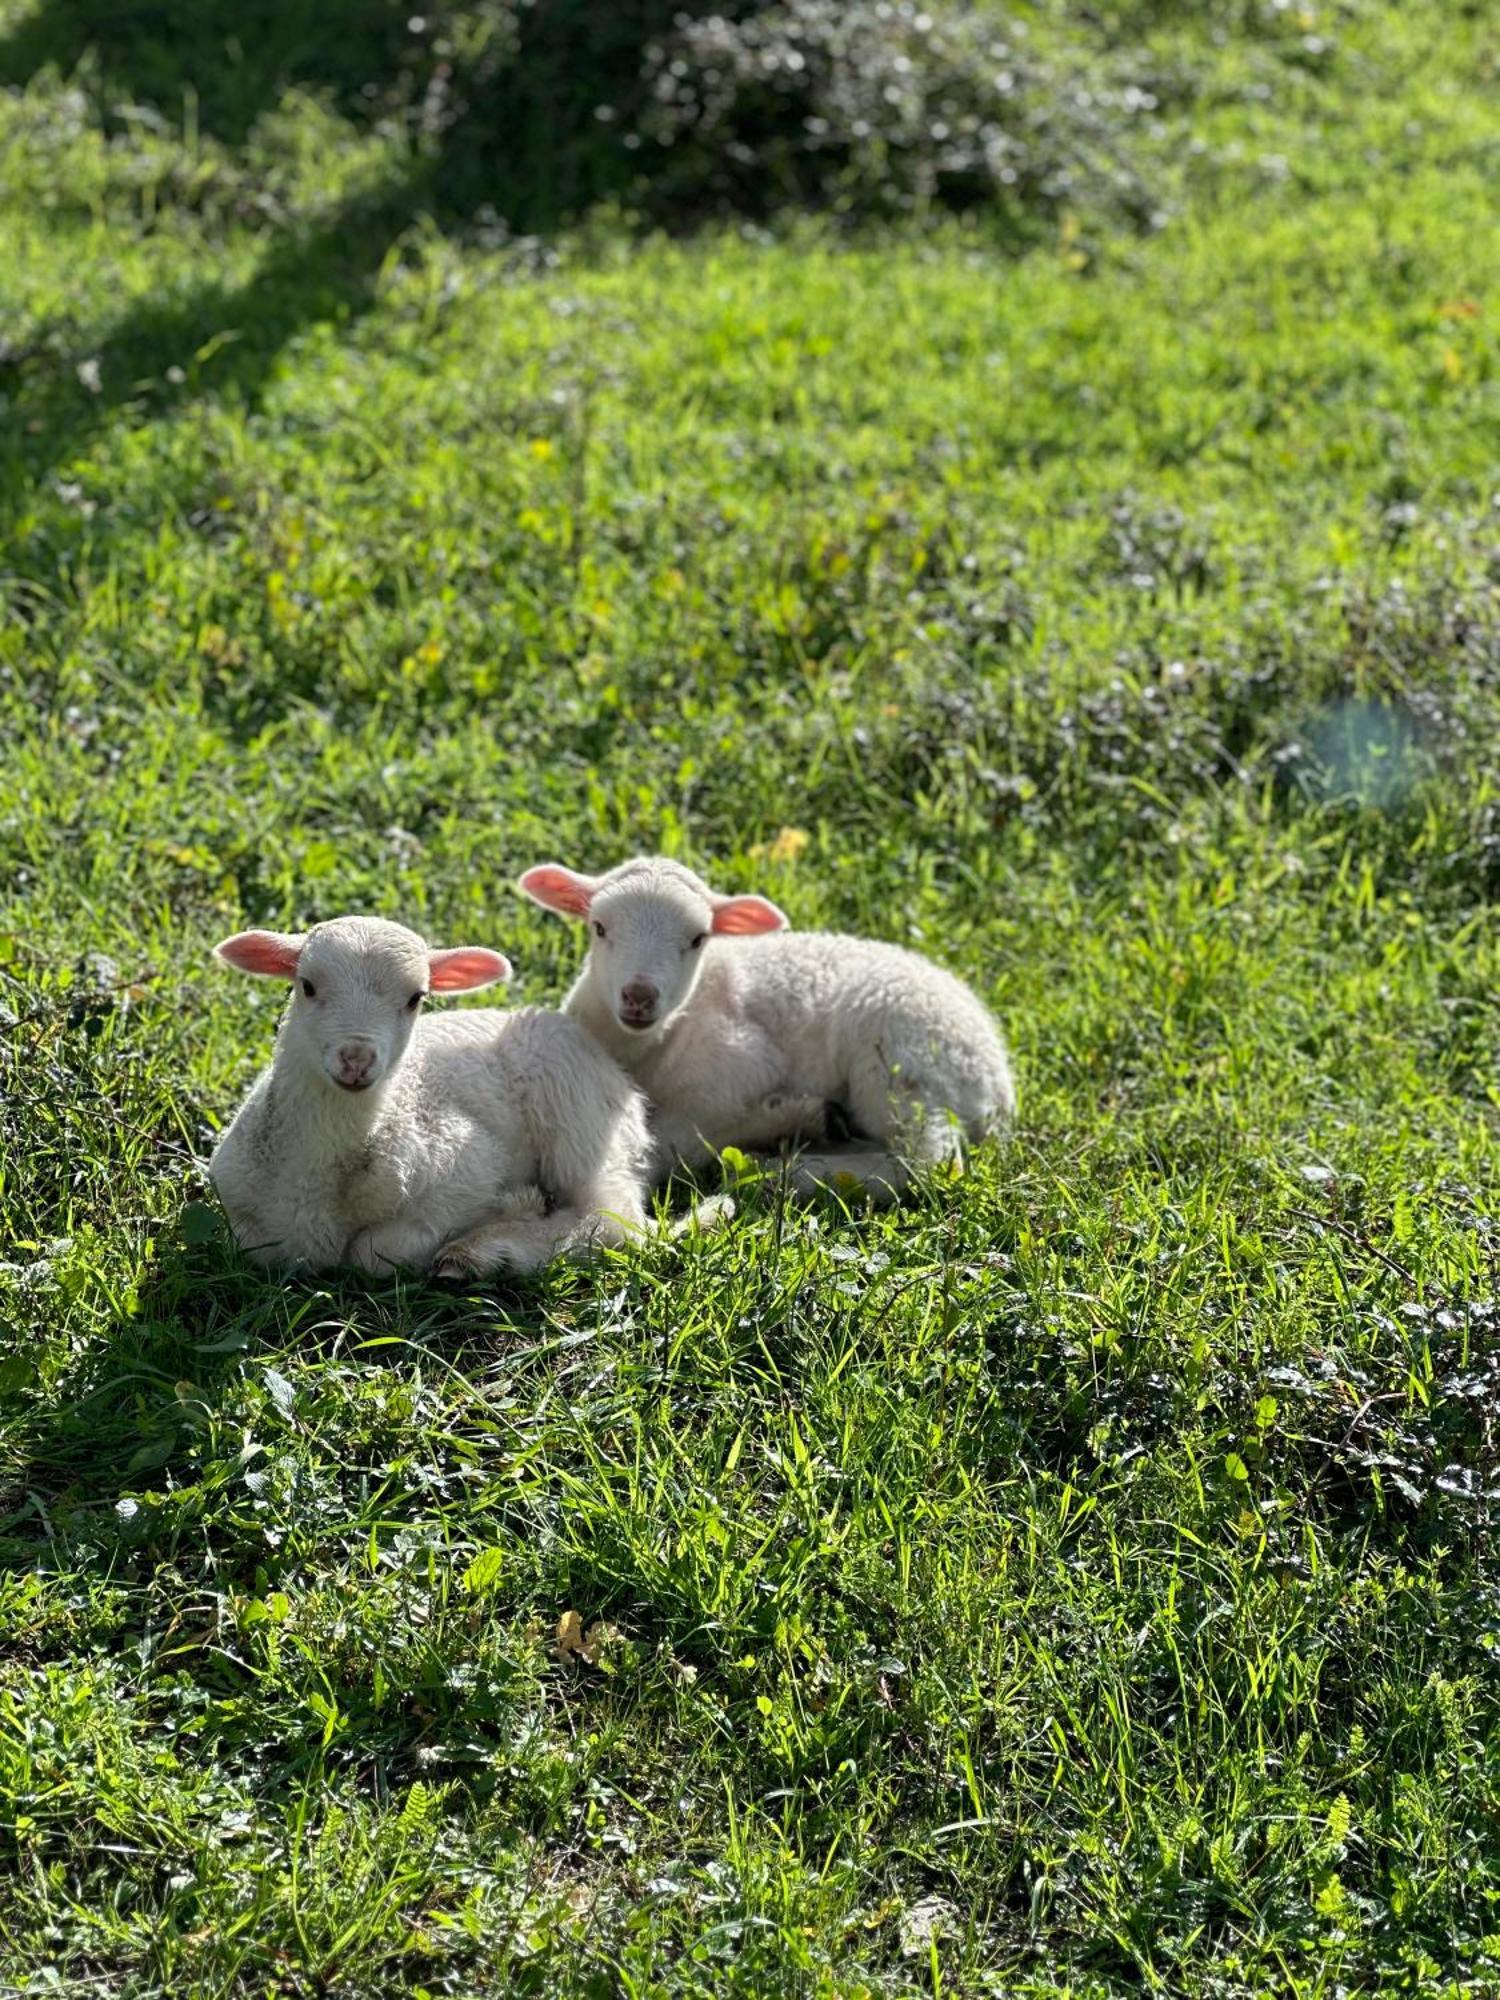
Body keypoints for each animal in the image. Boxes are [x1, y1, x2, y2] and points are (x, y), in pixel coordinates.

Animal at [210, 916, 652, 1272]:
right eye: (307, 986)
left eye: (415, 998)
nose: (356, 1059)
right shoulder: (241, 1212)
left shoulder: (473, 1166)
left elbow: (375, 1252)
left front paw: (506, 1211)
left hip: (579, 1115)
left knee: (612, 1218)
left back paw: (483, 1252)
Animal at [520, 852, 1024, 1192]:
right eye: (599, 927)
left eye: (698, 939)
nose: (640, 996)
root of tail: (998, 1081)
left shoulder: (738, 1067)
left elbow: (677, 1140)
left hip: (905, 1069)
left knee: (925, 1161)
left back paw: (790, 1170)